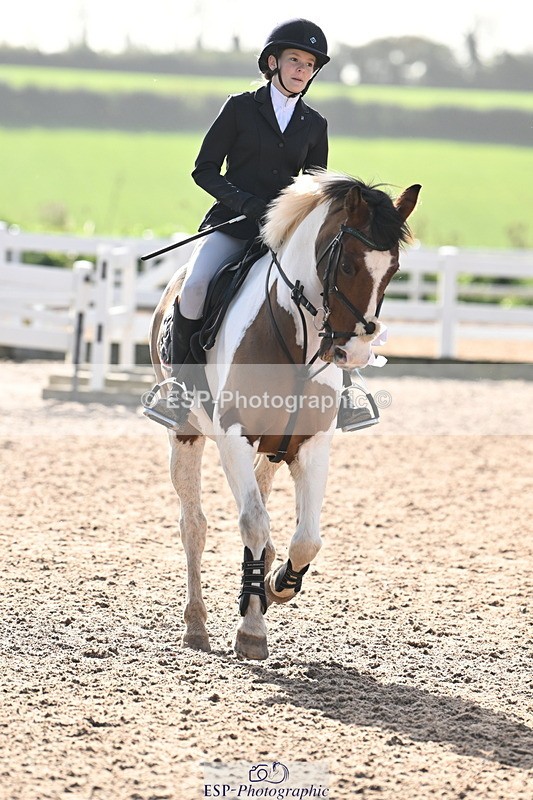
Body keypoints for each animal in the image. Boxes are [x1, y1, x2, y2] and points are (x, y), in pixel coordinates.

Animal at [147, 170, 421, 661]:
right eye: (347, 266)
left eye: (392, 271)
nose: (353, 353)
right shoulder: (233, 439)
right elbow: (253, 524)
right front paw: (253, 632)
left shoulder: (311, 446)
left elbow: (304, 540)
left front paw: (275, 588)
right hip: (186, 435)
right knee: (193, 525)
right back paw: (196, 626)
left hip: (273, 452)